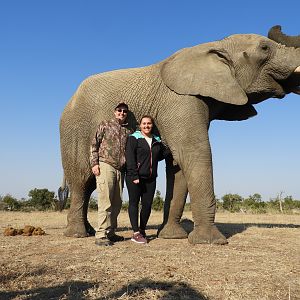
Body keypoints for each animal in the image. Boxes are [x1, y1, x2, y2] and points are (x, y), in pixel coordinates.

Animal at [60, 25, 300, 245]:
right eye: (265, 48)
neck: (216, 45)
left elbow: (178, 165)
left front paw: (172, 237)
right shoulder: (181, 101)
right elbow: (196, 155)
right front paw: (210, 242)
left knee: (89, 184)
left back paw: (92, 231)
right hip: (75, 131)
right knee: (82, 179)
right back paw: (79, 234)